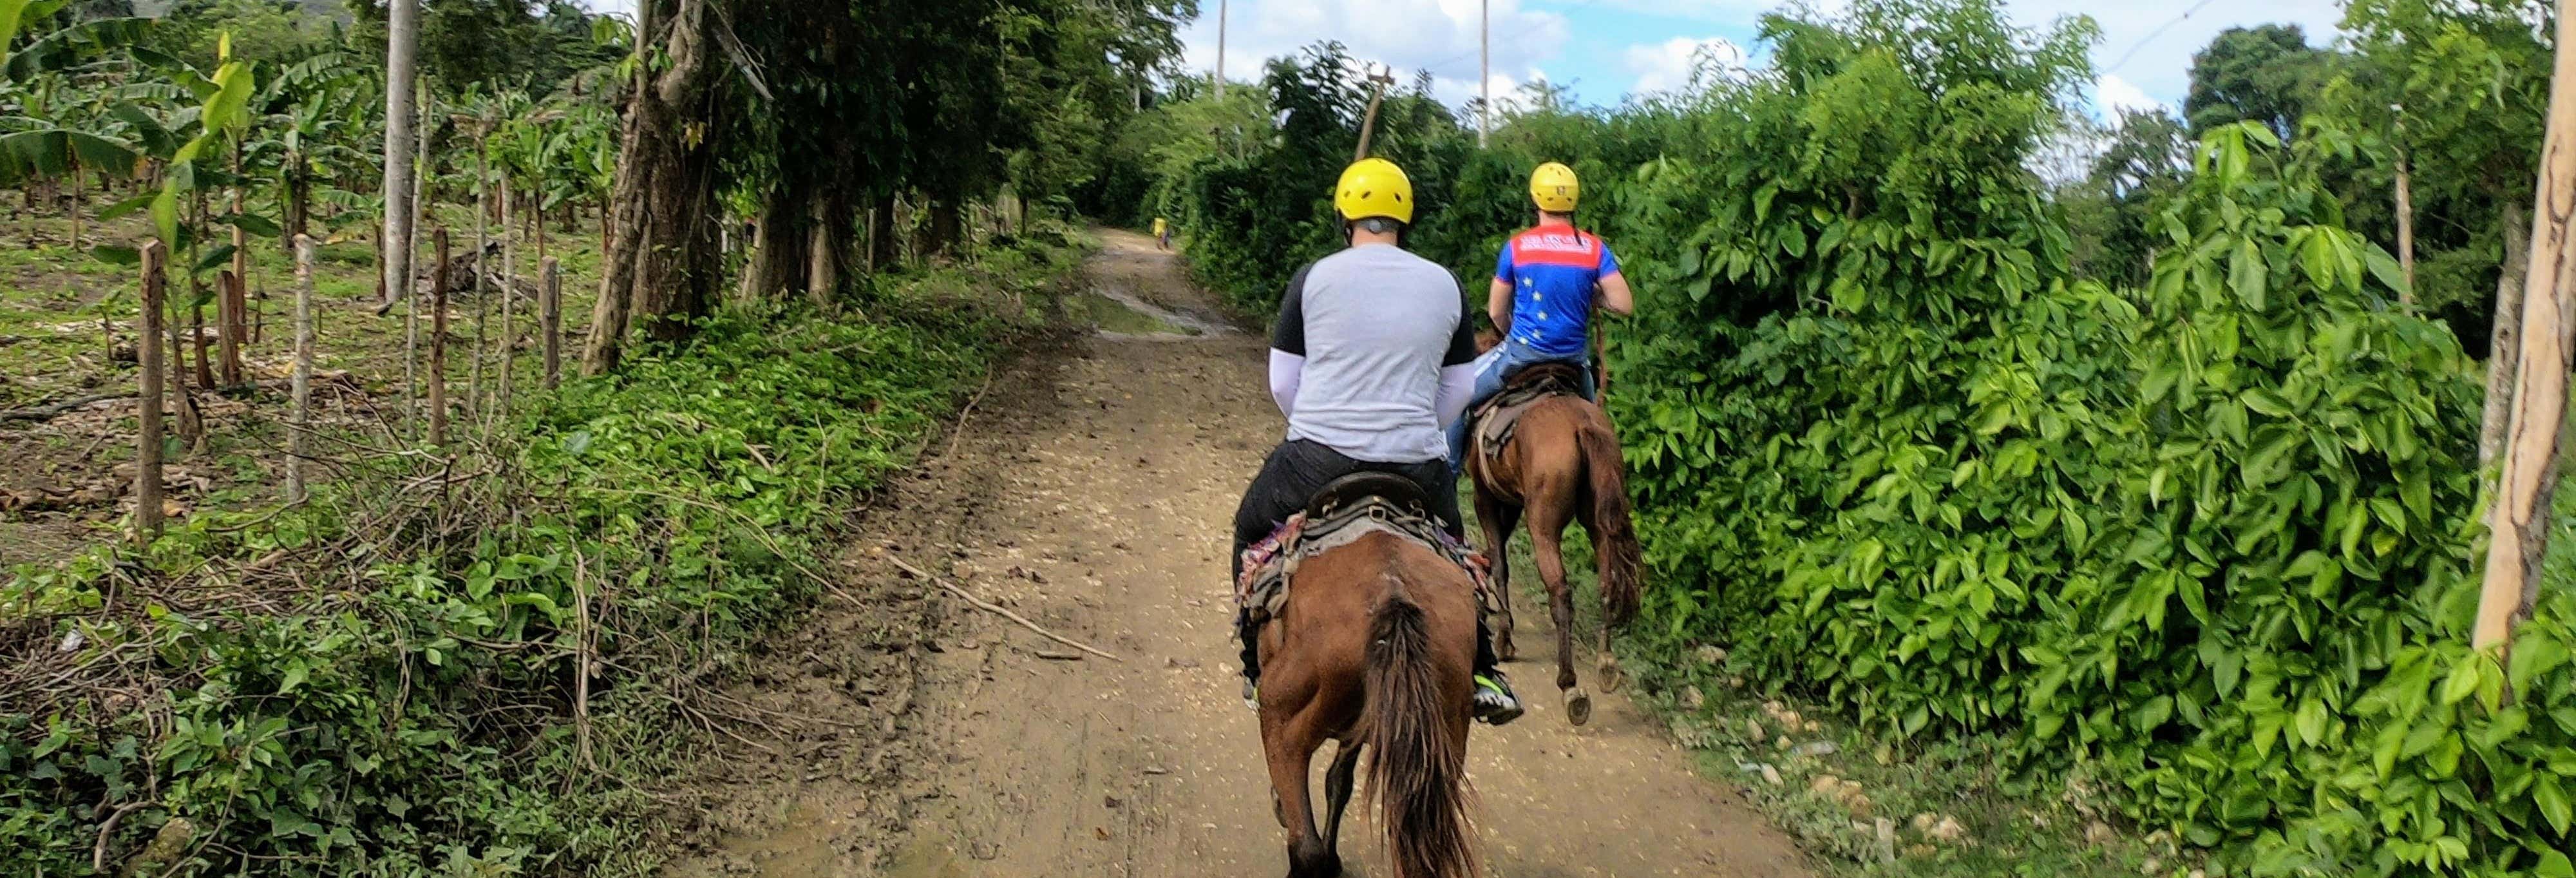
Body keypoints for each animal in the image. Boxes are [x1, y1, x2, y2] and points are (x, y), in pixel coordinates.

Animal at [1257, 520, 1484, 875]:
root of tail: (1391, 594)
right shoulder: (1359, 731)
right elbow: (1339, 783)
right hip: (1442, 743)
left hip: (1281, 722)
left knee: (1305, 846)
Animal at [1463, 358, 1638, 721]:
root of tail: (1582, 426)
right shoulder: (1510, 501)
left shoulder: (1485, 497)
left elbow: (1499, 564)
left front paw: (1504, 638)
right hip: (1598, 522)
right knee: (1607, 583)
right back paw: (1606, 663)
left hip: (1542, 525)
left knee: (1560, 592)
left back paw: (1570, 685)